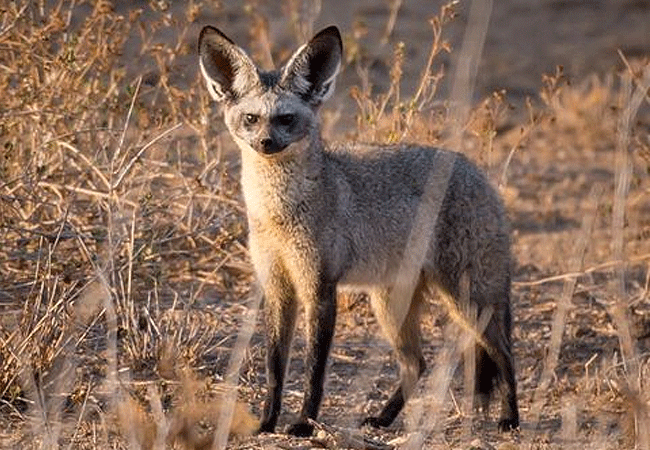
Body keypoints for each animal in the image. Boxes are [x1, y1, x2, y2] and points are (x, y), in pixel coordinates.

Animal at [195, 23, 520, 436]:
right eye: (251, 119)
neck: (278, 215)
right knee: (416, 364)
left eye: (286, 119)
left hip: (468, 300)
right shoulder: (277, 286)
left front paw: (304, 424)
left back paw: (510, 419)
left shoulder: (319, 287)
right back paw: (382, 418)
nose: (266, 143)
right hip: (391, 305)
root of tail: (481, 176)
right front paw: (267, 423)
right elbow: (274, 369)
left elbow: (315, 370)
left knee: (504, 353)